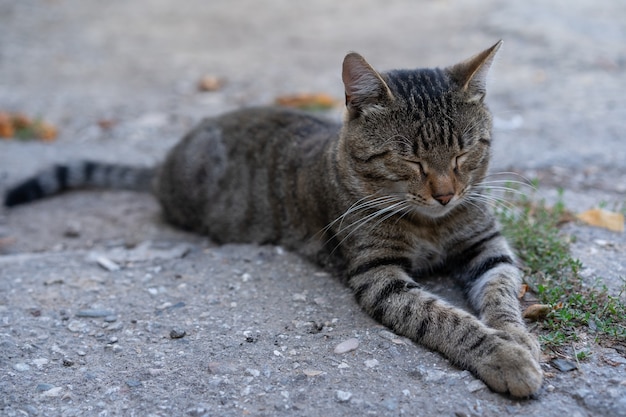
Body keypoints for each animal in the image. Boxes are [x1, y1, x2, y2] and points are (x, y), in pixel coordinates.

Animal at [3, 41, 540, 396]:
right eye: (410, 160)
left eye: (465, 153)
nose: (446, 195)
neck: (431, 224)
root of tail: (165, 162)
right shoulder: (378, 274)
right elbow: (444, 318)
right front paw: (505, 356)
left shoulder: (487, 246)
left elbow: (502, 293)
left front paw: (518, 339)